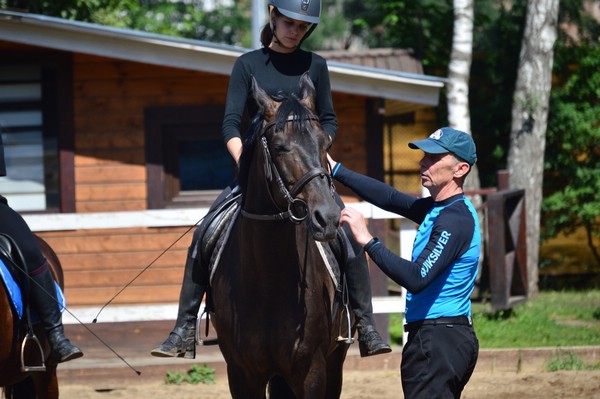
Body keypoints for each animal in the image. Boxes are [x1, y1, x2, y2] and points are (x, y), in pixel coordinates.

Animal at [210, 73, 352, 398]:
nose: (328, 218)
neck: (267, 278)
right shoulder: (241, 374)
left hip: (334, 363)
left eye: (325, 142)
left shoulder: (312, 371)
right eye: (279, 146)